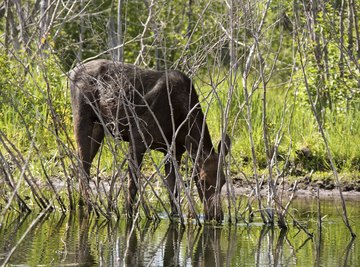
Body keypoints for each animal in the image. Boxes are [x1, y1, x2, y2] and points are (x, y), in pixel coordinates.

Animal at [69, 59, 229, 223]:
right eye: (203, 180)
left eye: (223, 181)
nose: (217, 215)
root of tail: (72, 72)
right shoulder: (137, 138)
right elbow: (132, 185)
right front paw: (129, 214)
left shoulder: (174, 152)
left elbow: (173, 190)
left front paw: (175, 216)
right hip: (81, 117)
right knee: (82, 166)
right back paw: (88, 207)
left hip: (99, 127)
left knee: (84, 166)